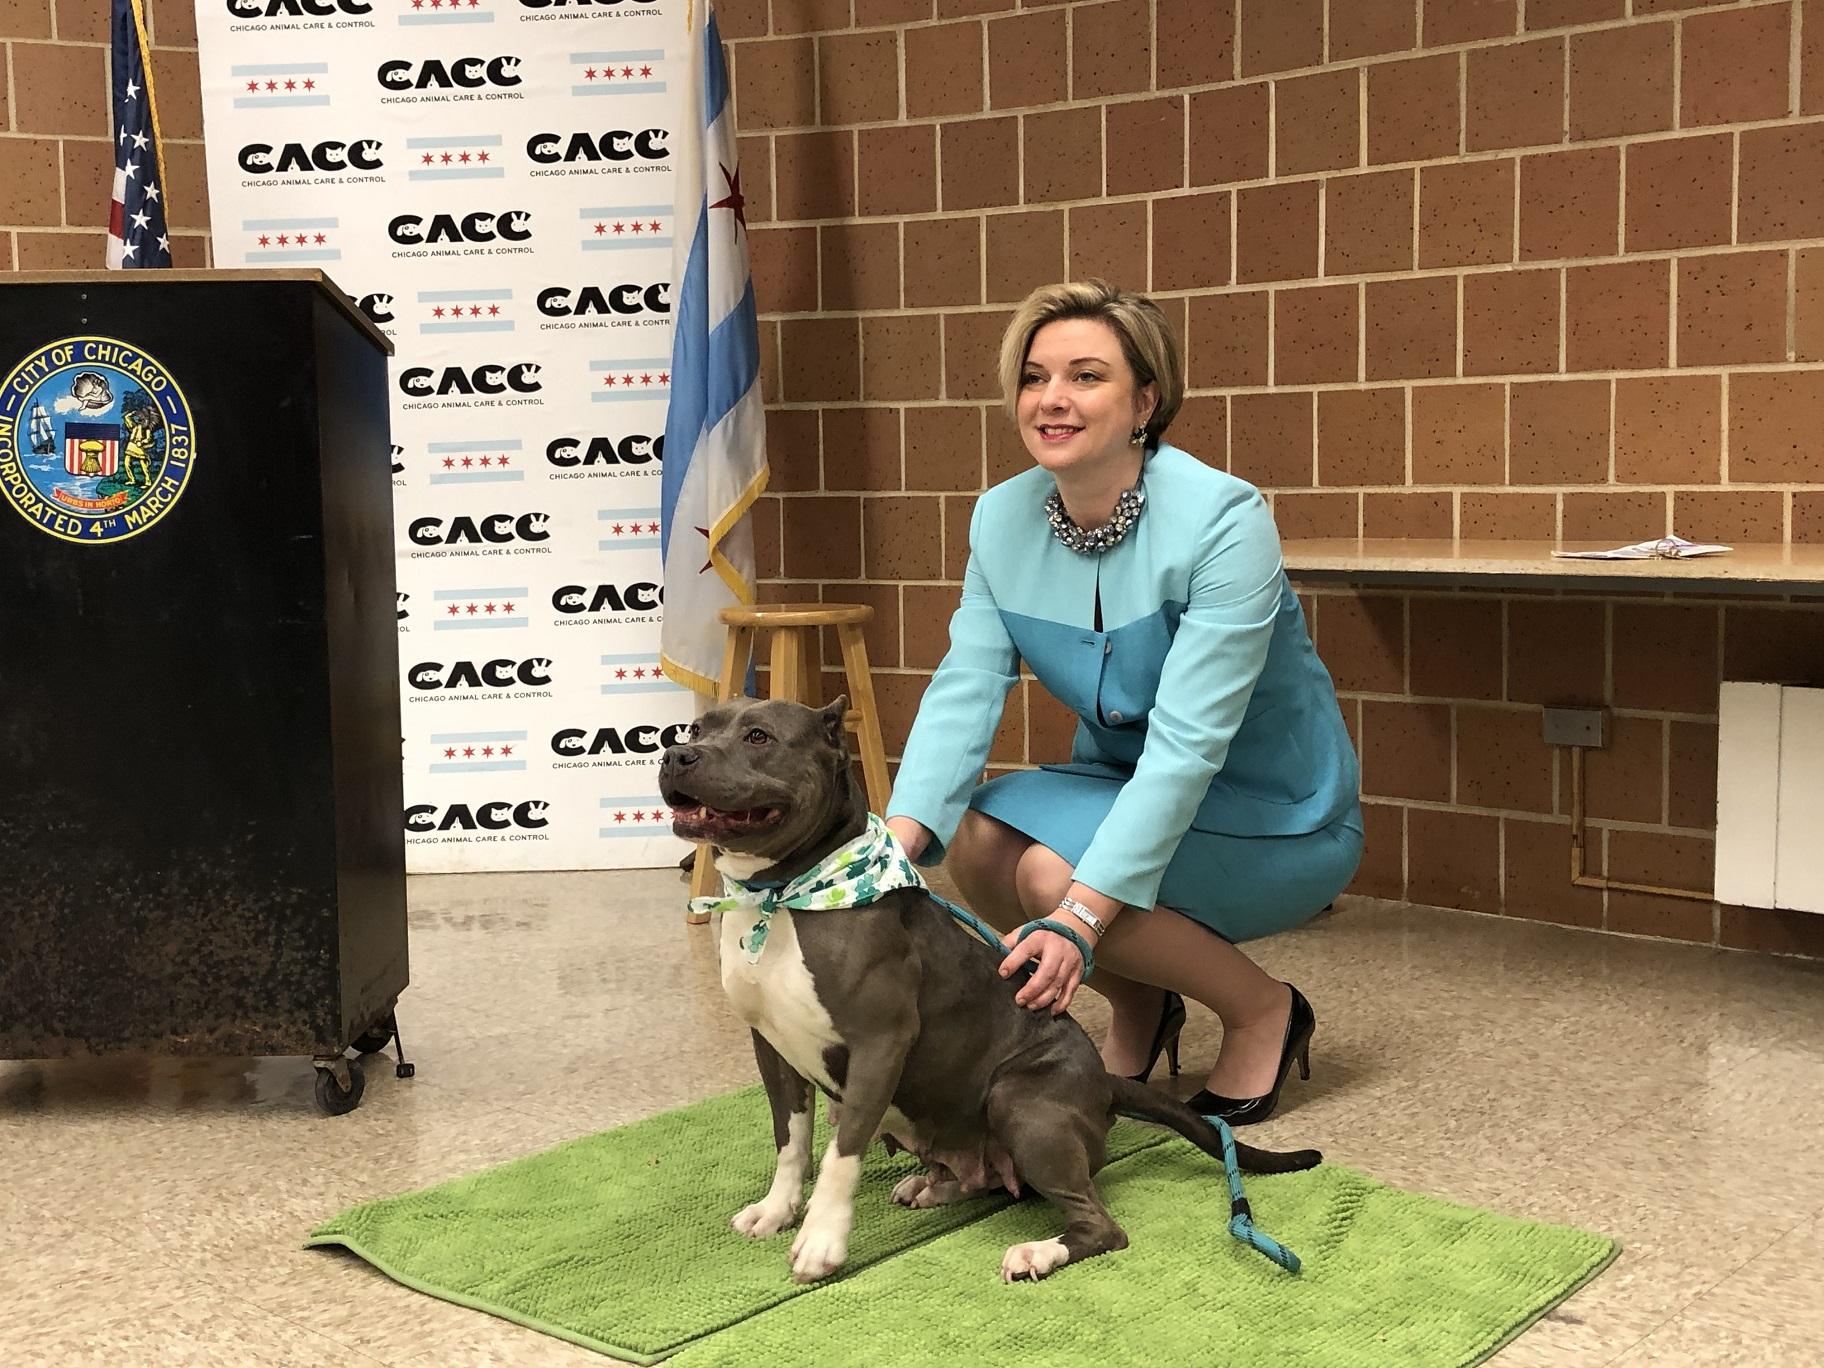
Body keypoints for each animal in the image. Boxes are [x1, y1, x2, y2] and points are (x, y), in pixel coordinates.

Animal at [663, 700, 1320, 1291]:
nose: (674, 754)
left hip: (1017, 1102)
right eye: (695, 727)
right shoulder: (772, 1049)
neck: (784, 896)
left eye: (757, 736)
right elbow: (792, 1141)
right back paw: (932, 1185)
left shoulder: (879, 1043)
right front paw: (777, 1211)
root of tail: (1104, 1084)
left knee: (1101, 1225)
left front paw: (822, 1241)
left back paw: (1037, 1252)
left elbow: (840, 1153)